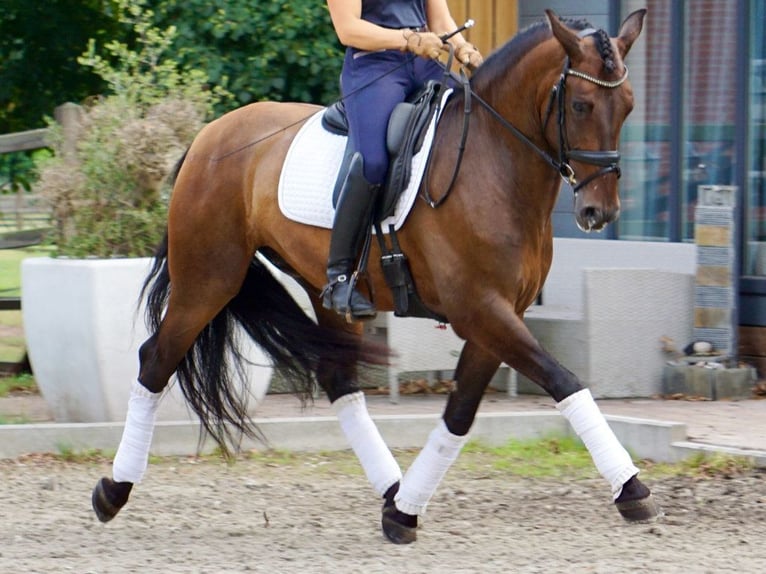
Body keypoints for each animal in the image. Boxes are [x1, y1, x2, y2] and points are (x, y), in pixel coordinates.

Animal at [92, 9, 659, 544]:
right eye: (581, 105)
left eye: (629, 106)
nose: (599, 213)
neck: (494, 162)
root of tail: (209, 134)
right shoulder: (480, 309)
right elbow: (563, 380)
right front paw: (631, 488)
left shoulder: (498, 315)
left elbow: (460, 412)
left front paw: (405, 512)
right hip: (207, 279)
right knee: (156, 359)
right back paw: (112, 492)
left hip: (322, 292)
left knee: (338, 380)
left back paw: (393, 491)